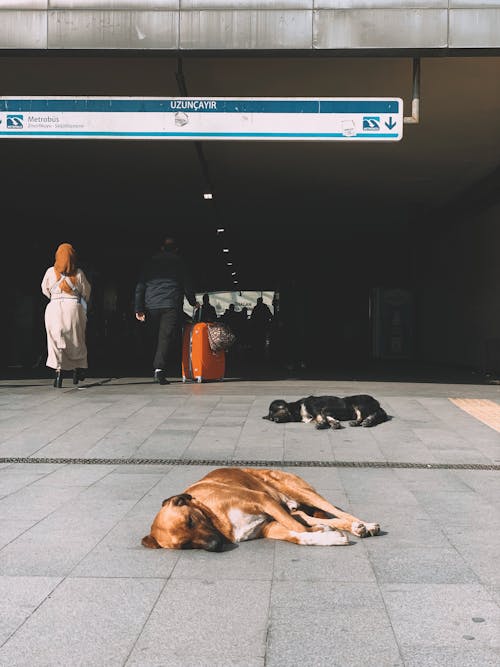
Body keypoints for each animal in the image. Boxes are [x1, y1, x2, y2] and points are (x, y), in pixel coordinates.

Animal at [141, 464, 378, 552]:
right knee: (316, 518)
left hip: (300, 491)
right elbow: (300, 535)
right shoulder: (268, 526)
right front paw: (328, 536)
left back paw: (364, 524)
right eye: (185, 545)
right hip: (293, 509)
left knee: (338, 512)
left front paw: (325, 533)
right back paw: (351, 527)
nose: (216, 545)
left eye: (190, 520)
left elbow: (300, 530)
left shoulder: (264, 500)